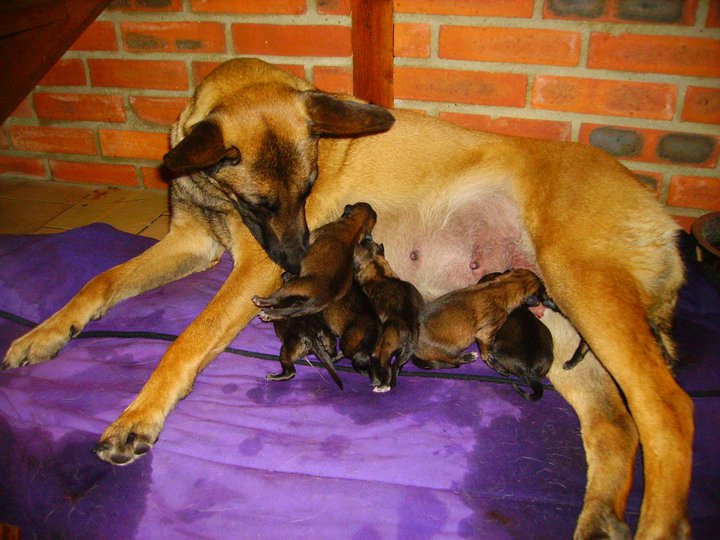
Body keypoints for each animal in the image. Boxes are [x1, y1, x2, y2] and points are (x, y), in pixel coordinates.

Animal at [353, 235, 424, 392]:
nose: (367, 236)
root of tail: (409, 330)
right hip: (399, 355)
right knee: (396, 366)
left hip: (384, 349)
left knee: (387, 366)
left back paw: (383, 386)